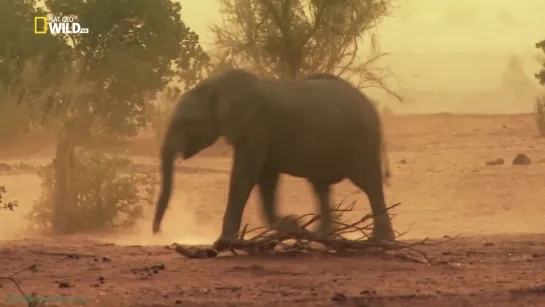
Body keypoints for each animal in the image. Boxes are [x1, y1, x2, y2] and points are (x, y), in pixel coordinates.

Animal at [153, 69, 396, 250]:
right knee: (321, 187)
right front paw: (294, 225)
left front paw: (225, 242)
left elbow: (246, 174)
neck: (219, 85)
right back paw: (322, 238)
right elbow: (266, 179)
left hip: (361, 143)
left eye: (187, 123)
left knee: (370, 185)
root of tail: (372, 108)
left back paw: (378, 240)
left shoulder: (256, 125)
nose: (157, 232)